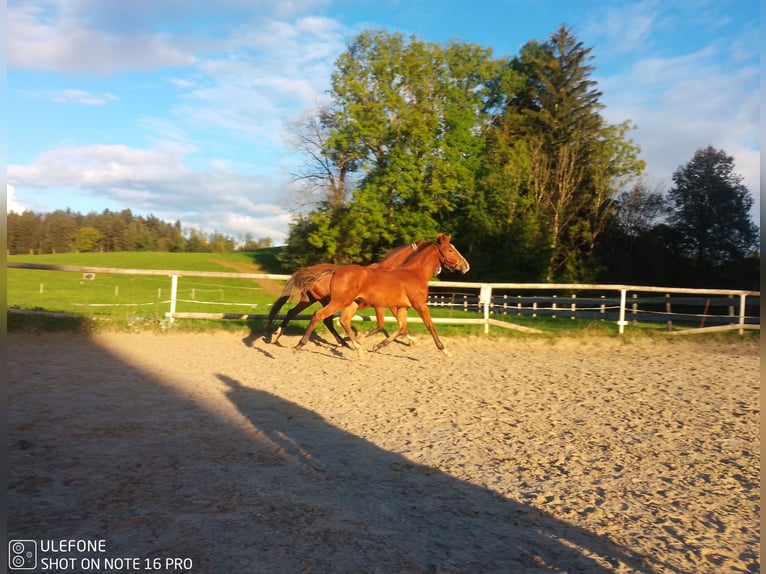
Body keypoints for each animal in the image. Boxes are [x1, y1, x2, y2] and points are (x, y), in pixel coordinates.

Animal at [266, 242, 426, 346]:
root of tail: (308, 270)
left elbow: (398, 322)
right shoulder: (383, 304)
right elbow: (389, 324)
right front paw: (410, 340)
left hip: (309, 300)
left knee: (292, 312)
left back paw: (277, 336)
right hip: (330, 301)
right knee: (324, 319)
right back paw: (343, 342)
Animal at [296, 233, 472, 356]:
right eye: (450, 250)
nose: (466, 266)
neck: (415, 274)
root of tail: (335, 271)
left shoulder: (402, 307)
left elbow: (400, 327)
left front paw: (377, 345)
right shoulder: (419, 305)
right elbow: (430, 326)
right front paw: (445, 350)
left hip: (349, 303)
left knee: (342, 320)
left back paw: (356, 347)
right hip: (338, 301)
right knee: (319, 315)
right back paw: (300, 344)